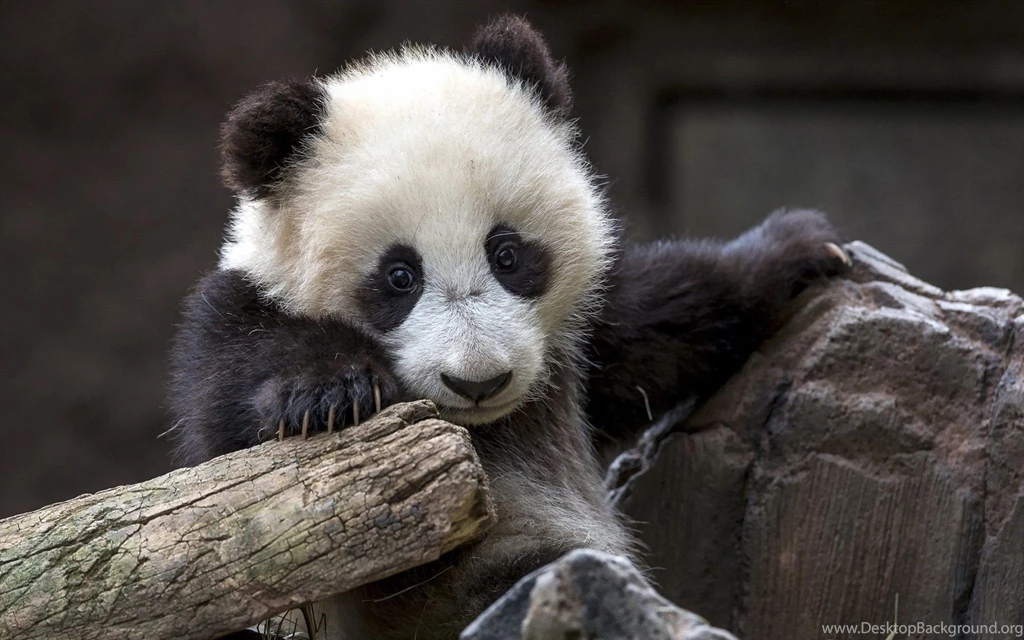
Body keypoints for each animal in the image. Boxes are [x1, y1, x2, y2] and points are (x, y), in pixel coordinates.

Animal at [169, 15, 850, 640]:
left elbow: (659, 320)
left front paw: (798, 250)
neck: (481, 428)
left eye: (507, 254)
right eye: (399, 276)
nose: (478, 382)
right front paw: (332, 393)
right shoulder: (237, 311)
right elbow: (228, 427)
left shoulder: (579, 337)